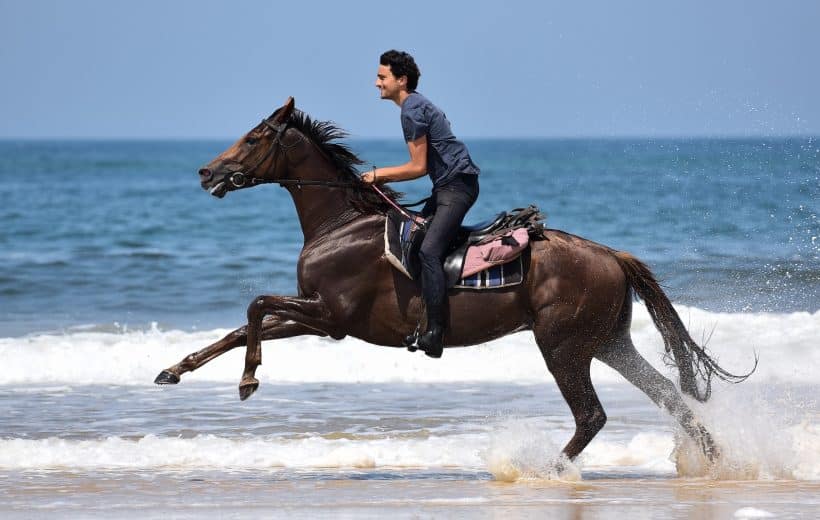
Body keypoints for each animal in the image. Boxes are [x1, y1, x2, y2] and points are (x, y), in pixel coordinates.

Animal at [155, 97, 752, 463]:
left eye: (256, 137)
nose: (207, 172)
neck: (341, 224)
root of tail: (609, 253)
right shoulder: (316, 315)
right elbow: (241, 327)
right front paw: (175, 369)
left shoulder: (331, 315)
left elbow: (255, 305)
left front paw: (247, 380)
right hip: (608, 342)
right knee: (671, 400)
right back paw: (717, 460)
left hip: (562, 346)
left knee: (592, 416)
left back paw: (545, 470)